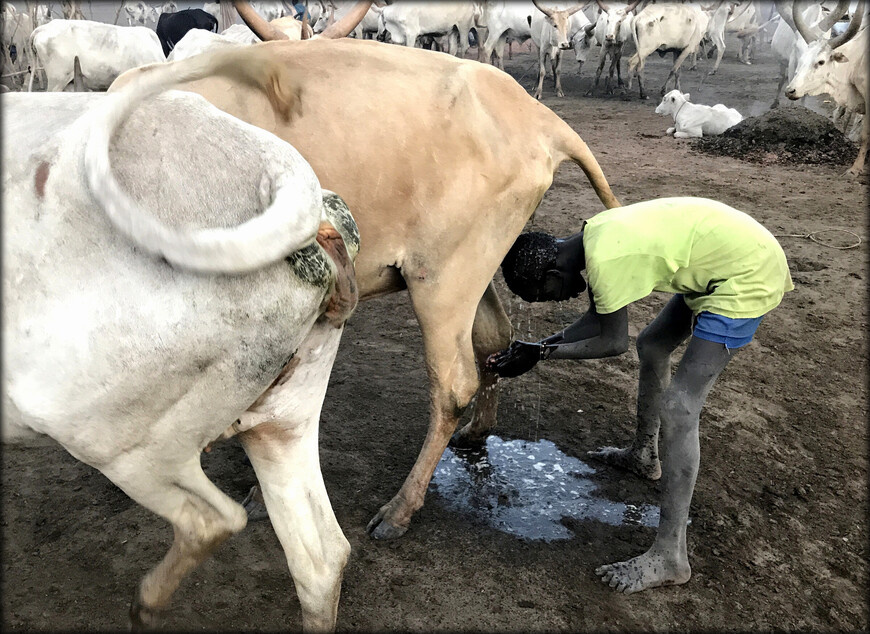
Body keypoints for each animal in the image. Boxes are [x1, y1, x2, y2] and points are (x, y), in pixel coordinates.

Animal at [114, 3, 620, 540]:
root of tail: (536, 116)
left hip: (444, 279)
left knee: (453, 384)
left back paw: (401, 507)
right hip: (468, 268)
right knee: (495, 339)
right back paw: (476, 431)